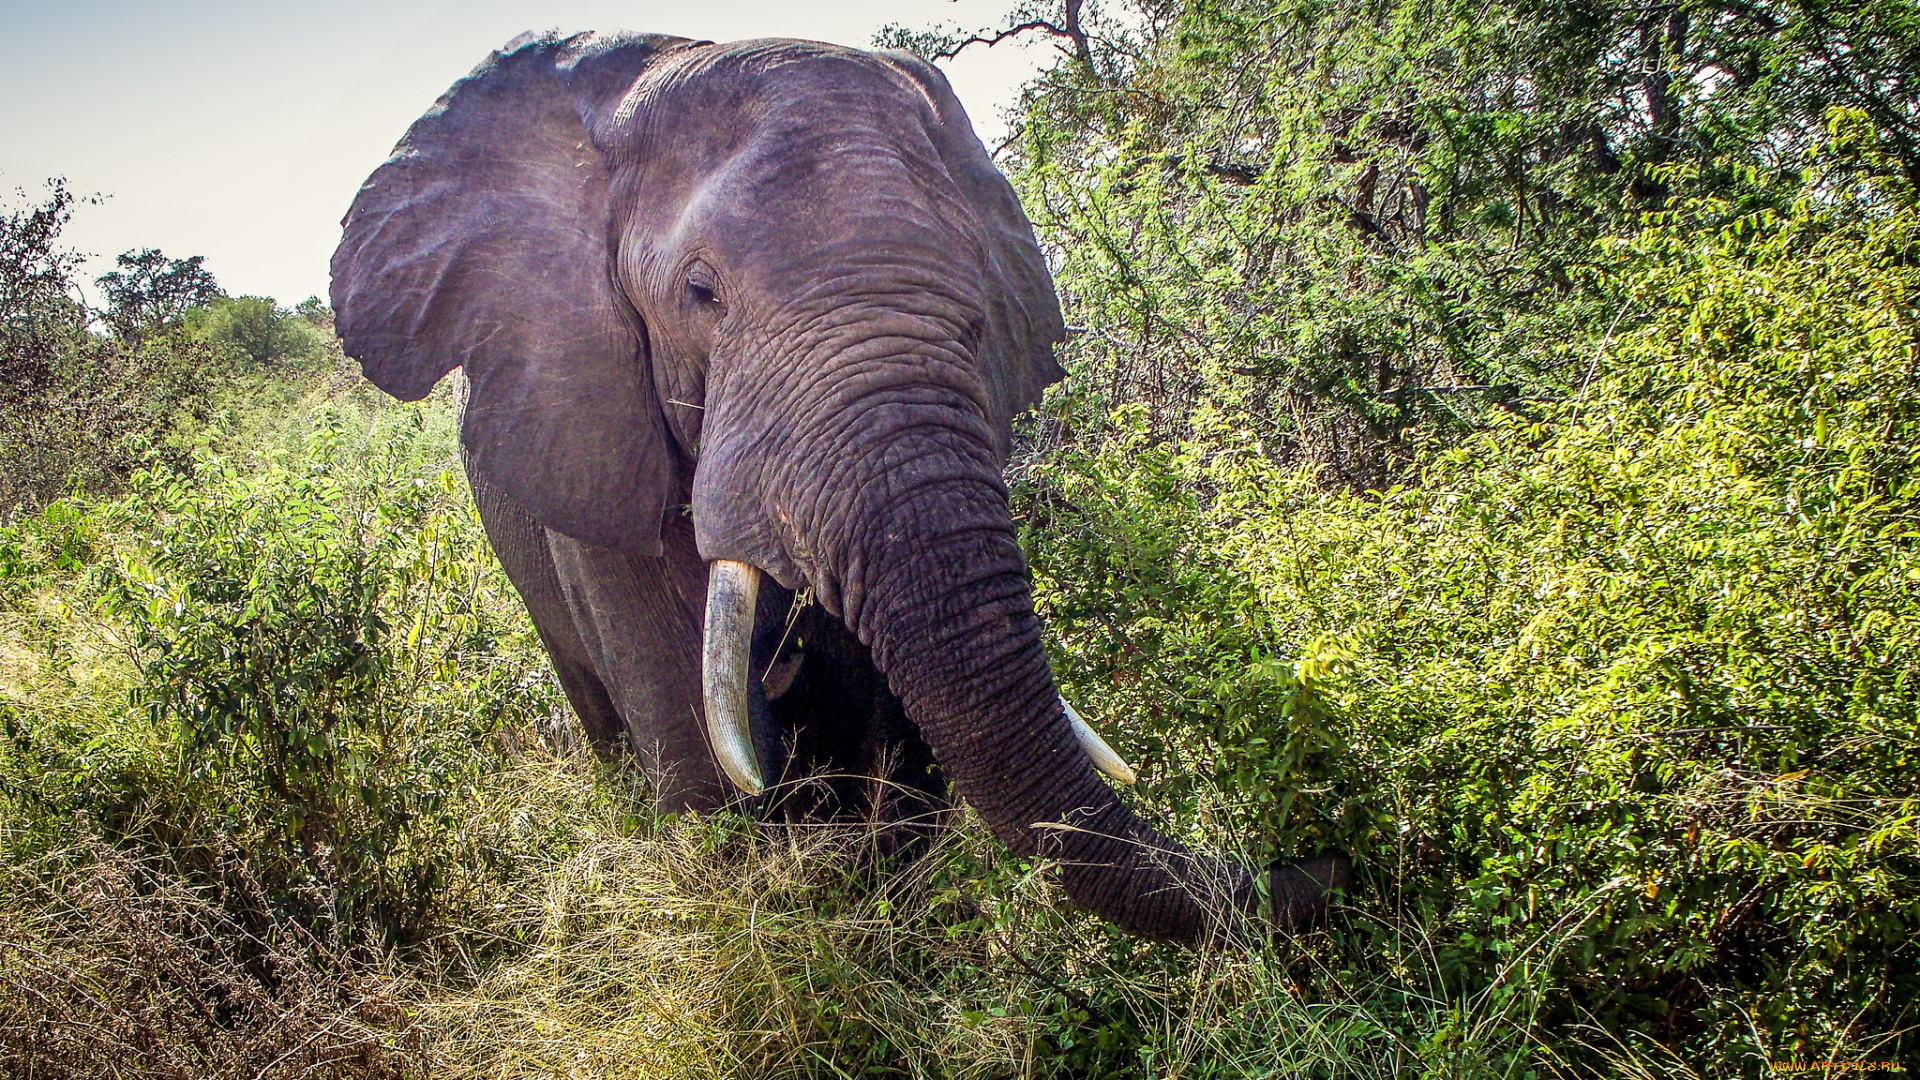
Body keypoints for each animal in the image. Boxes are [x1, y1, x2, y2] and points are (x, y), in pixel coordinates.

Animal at [330, 29, 1344, 941]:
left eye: (978, 318)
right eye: (700, 294)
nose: (1327, 854)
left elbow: (895, 752)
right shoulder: (590, 435)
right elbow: (703, 769)